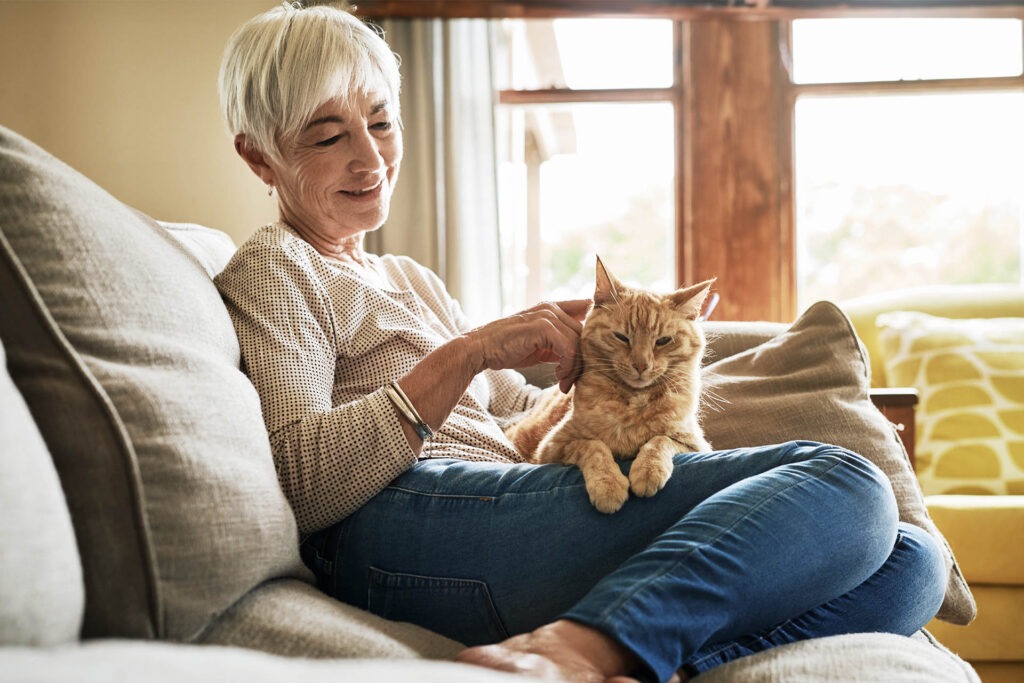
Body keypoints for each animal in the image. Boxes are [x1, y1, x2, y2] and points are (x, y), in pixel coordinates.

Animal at [503, 259, 712, 516]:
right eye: (622, 337)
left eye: (663, 341)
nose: (641, 365)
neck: (633, 401)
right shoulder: (552, 448)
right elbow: (594, 446)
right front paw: (608, 486)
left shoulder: (696, 444)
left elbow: (660, 440)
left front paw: (648, 470)